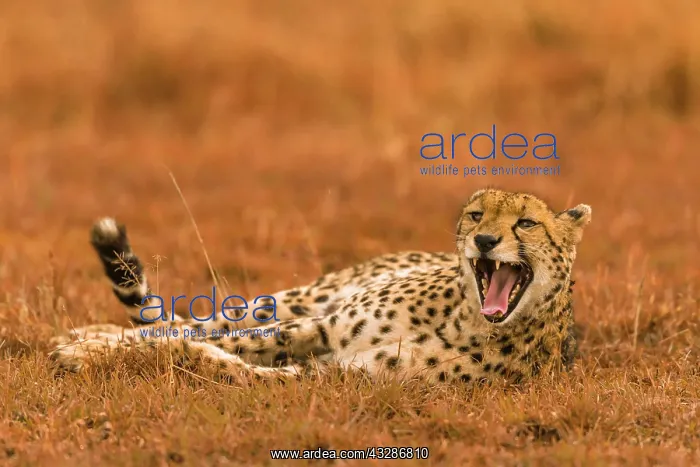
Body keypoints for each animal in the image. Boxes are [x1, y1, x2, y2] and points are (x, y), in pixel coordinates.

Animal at [49, 188, 592, 386]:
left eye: (526, 223)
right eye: (477, 214)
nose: (484, 240)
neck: (466, 321)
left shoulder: (341, 376)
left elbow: (222, 361)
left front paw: (104, 354)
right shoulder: (325, 327)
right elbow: (207, 338)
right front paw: (90, 349)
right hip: (300, 298)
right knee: (203, 319)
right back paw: (89, 333)